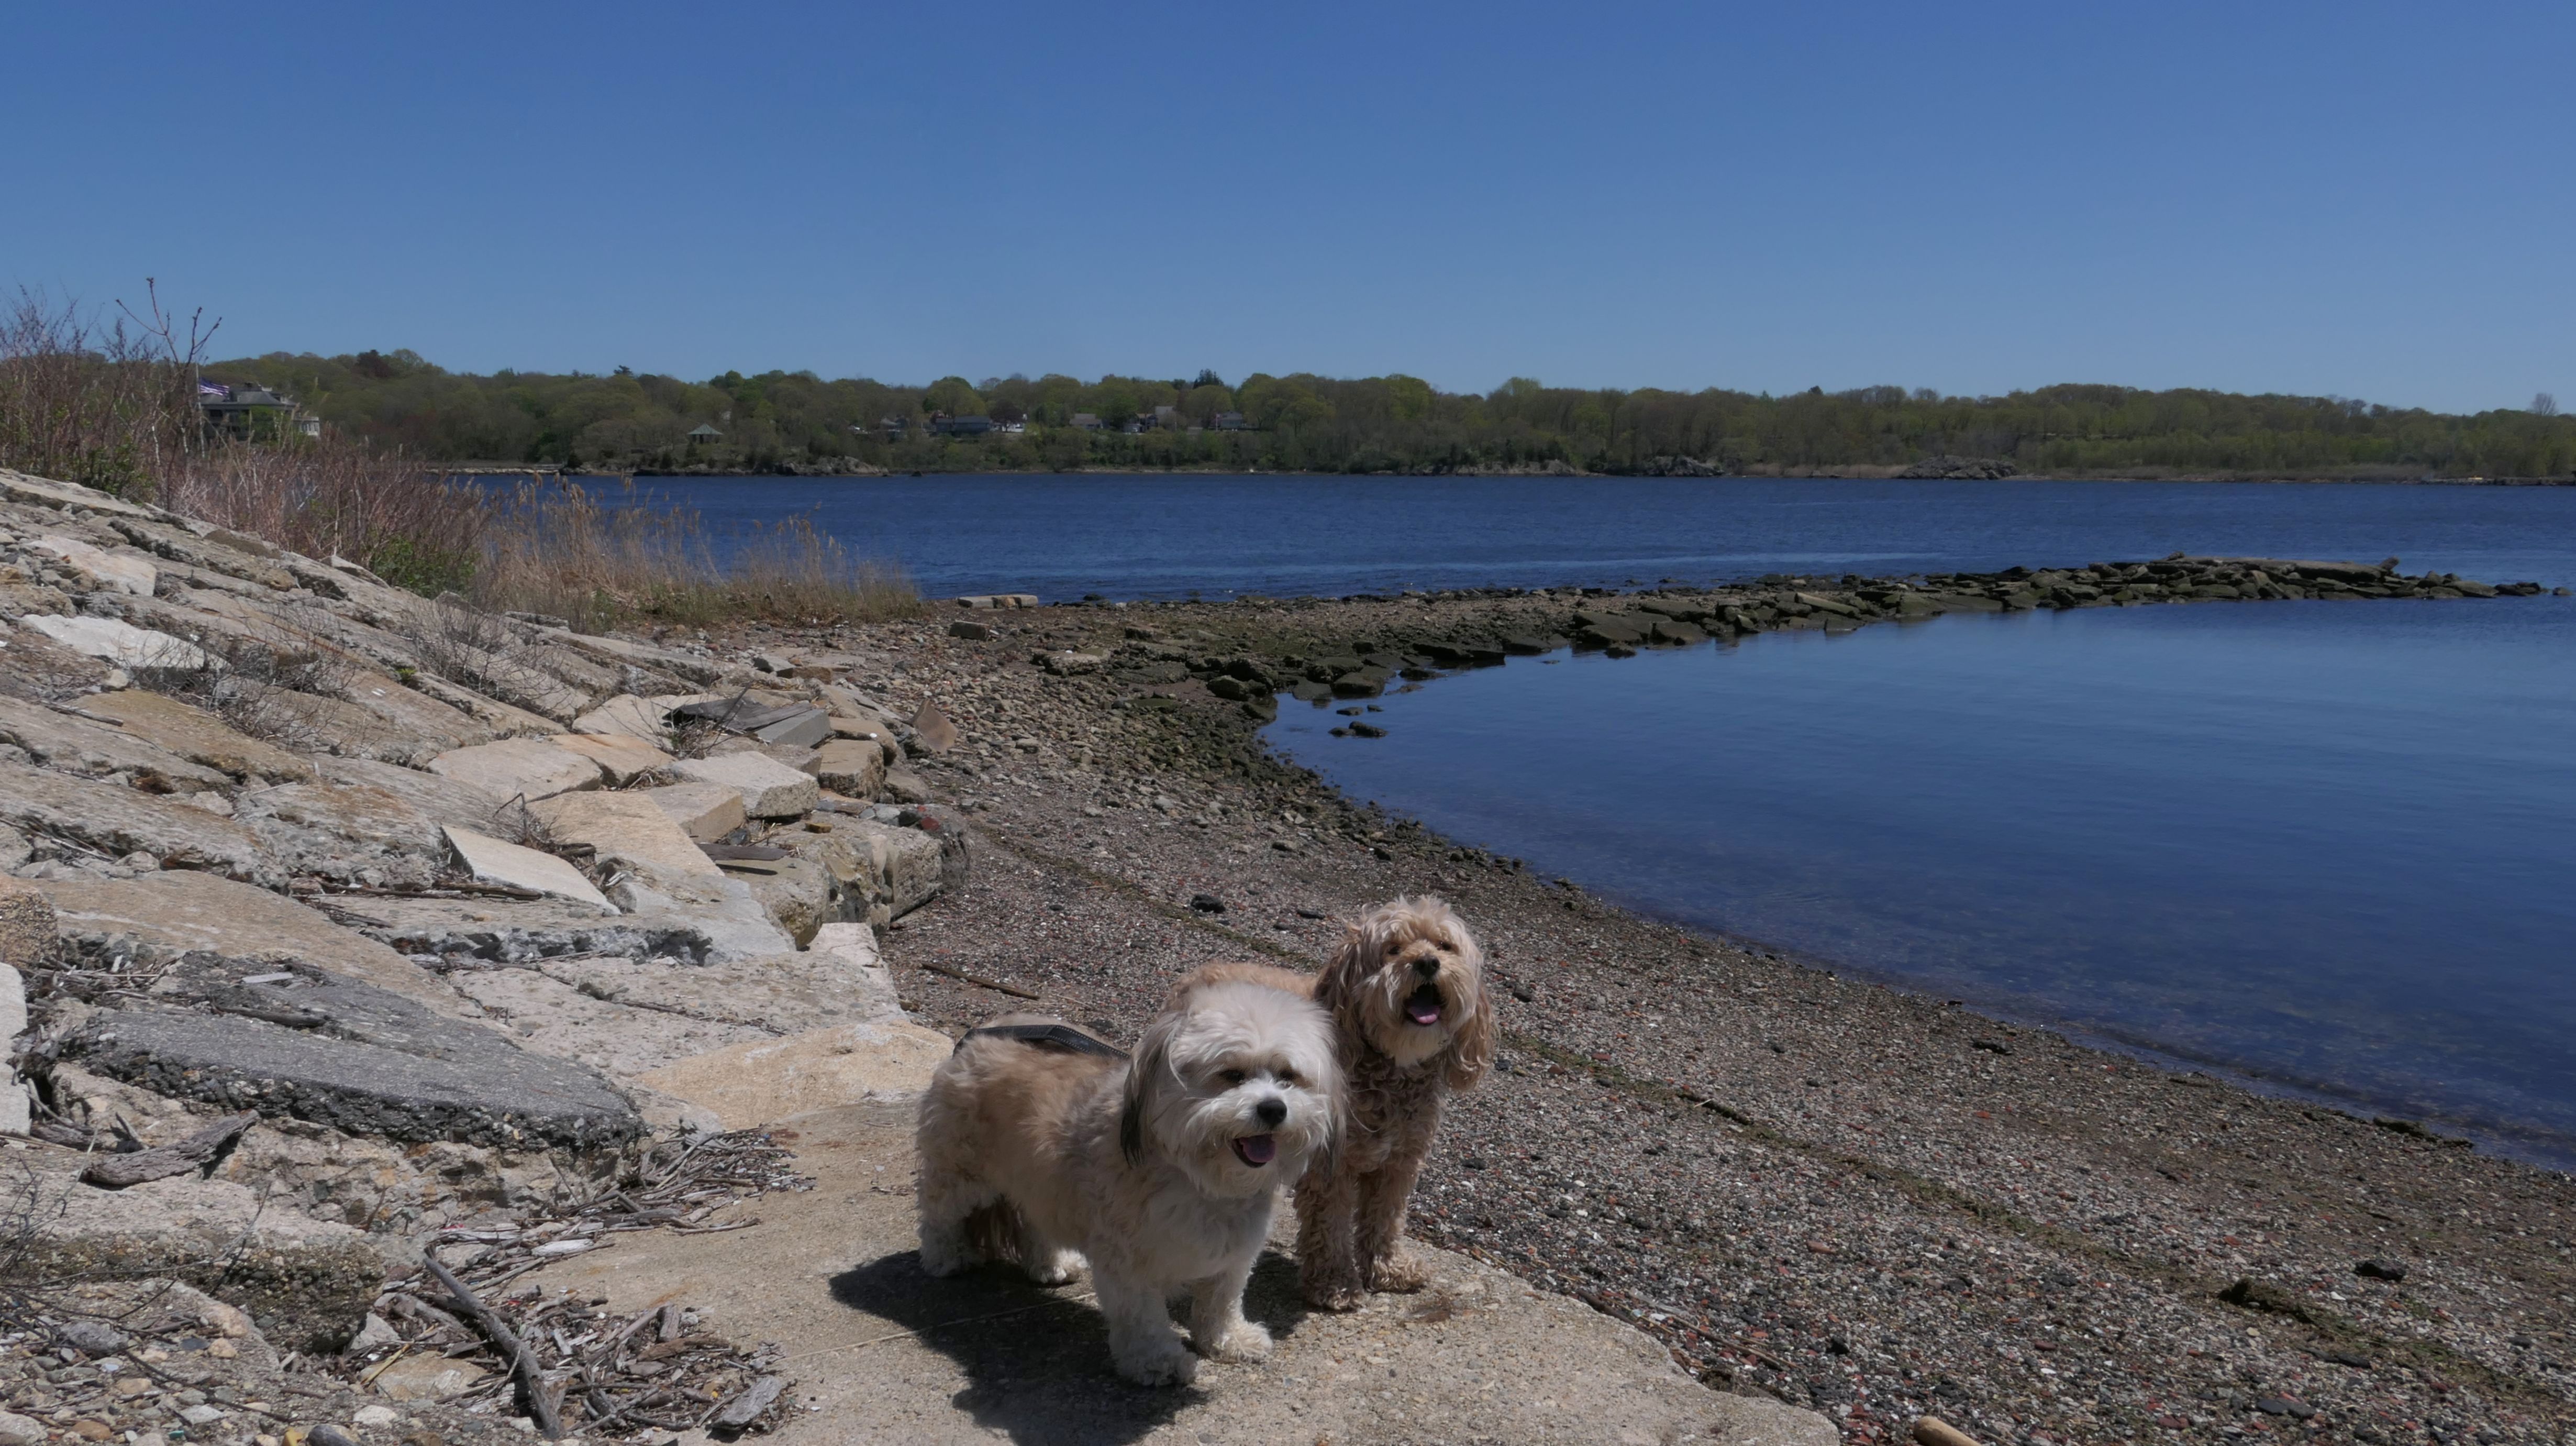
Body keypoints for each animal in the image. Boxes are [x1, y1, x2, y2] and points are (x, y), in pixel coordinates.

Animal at [914, 979, 1339, 1387]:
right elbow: (1143, 1316)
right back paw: (948, 1257)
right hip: (961, 1174)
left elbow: (1222, 1301)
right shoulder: (1129, 1261)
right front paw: (1157, 1360)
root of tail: (980, 1035)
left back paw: (1051, 1263)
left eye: (1288, 1077)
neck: (1200, 1180)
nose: (1274, 1108)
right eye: (1232, 1074)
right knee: (939, 1215)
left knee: (1034, 1221)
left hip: (1038, 1179)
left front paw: (1228, 1339)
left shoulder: (1235, 1254)